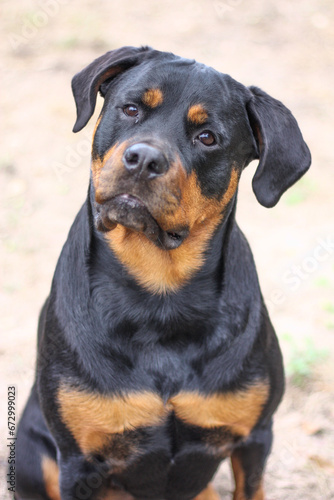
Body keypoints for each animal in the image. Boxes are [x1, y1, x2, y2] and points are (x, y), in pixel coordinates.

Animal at [15, 47, 310, 500]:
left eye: (207, 137)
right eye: (131, 108)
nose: (143, 159)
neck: (160, 295)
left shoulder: (254, 438)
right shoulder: (80, 458)